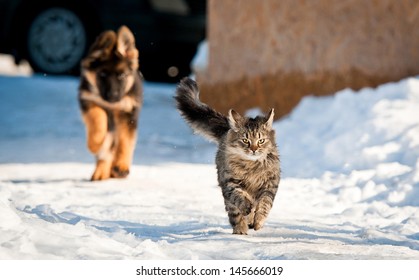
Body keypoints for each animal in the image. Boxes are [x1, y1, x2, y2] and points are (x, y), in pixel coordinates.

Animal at [78, 25, 143, 180]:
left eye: (121, 75)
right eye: (102, 74)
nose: (113, 96)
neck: (112, 106)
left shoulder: (128, 113)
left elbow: (125, 141)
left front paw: (121, 166)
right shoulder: (89, 101)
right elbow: (98, 122)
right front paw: (94, 145)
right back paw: (101, 171)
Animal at [176, 77, 280, 234]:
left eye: (261, 141)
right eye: (245, 140)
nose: (254, 149)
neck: (252, 167)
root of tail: (227, 130)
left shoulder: (270, 184)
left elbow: (264, 204)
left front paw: (258, 221)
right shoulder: (230, 182)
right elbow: (240, 196)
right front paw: (247, 208)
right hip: (226, 195)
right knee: (235, 215)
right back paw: (240, 231)